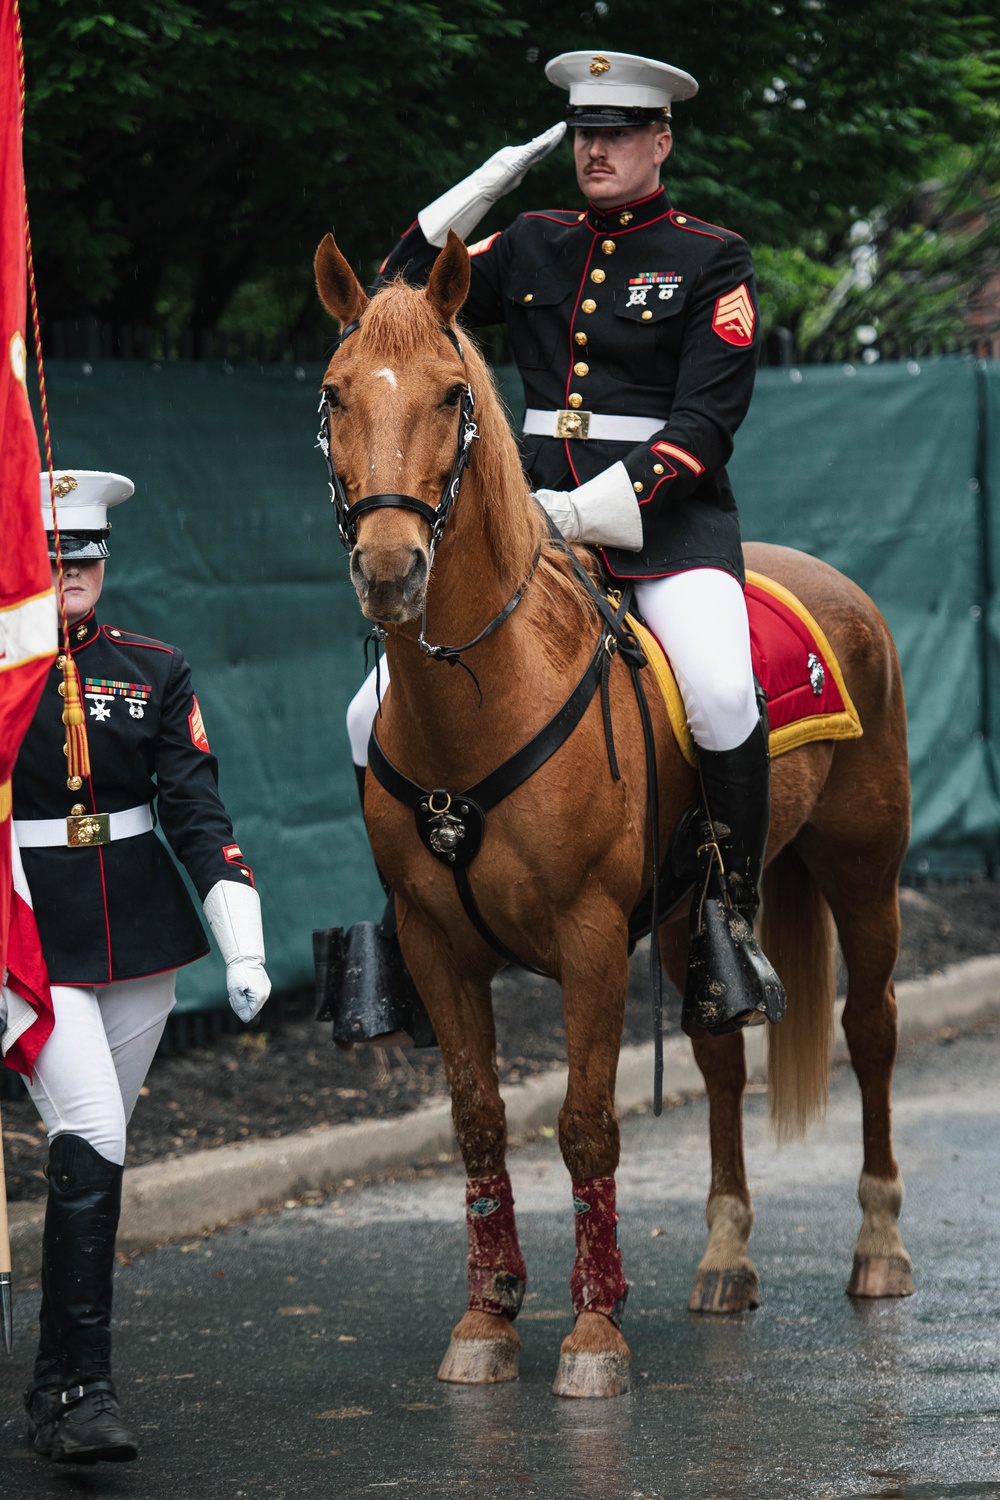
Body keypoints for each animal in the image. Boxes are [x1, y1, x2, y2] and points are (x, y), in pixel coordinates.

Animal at [314, 228, 917, 1398]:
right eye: (332, 394)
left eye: (453, 394)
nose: (390, 571)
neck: (479, 695)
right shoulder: (437, 941)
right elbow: (479, 1123)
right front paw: (487, 1316)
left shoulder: (590, 936)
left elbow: (587, 1123)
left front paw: (593, 1330)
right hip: (695, 914)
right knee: (720, 1057)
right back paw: (724, 1258)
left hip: (865, 874)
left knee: (870, 1032)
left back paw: (878, 1245)